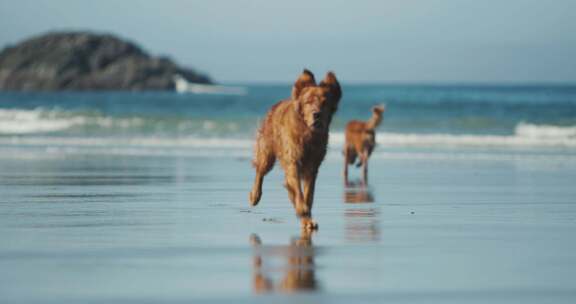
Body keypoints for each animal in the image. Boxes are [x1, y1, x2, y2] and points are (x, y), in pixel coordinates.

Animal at [249, 69, 340, 230]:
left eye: (325, 103)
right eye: (308, 102)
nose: (317, 115)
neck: (308, 134)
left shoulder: (312, 168)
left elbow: (308, 195)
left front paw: (307, 218)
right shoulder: (292, 162)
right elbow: (299, 192)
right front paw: (302, 209)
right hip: (267, 153)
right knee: (260, 171)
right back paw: (255, 195)